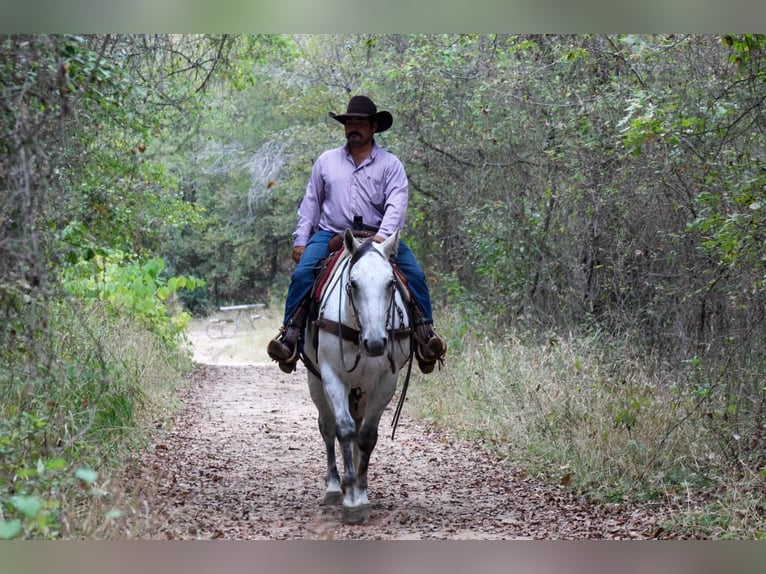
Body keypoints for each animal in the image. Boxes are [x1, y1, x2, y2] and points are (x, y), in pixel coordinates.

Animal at [302, 229, 413, 524]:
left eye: (390, 283)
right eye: (352, 284)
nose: (375, 343)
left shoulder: (386, 382)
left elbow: (366, 436)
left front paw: (360, 492)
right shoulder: (331, 376)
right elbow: (344, 429)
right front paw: (350, 498)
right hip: (316, 382)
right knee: (328, 428)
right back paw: (334, 486)